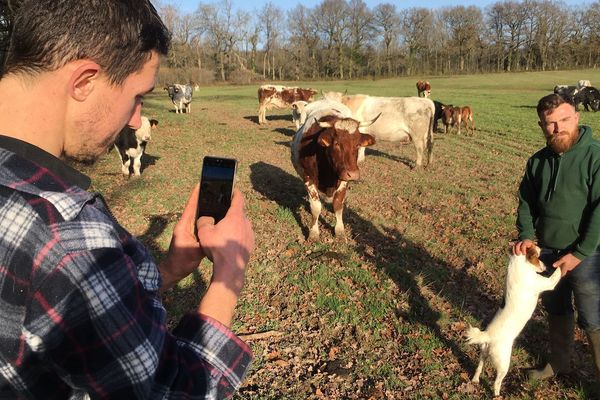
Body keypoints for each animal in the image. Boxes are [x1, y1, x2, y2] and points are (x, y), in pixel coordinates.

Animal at [290, 102, 376, 241]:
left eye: (358, 144)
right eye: (336, 143)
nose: (353, 174)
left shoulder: (343, 179)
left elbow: (338, 204)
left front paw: (339, 230)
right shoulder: (308, 178)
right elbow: (315, 207)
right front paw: (313, 233)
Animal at [466, 245, 560, 396]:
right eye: (538, 256)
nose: (546, 266)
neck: (517, 265)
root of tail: (488, 336)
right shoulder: (547, 283)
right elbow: (557, 274)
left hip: (483, 354)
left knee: (478, 368)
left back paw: (475, 380)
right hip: (503, 364)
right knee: (496, 382)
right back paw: (497, 395)